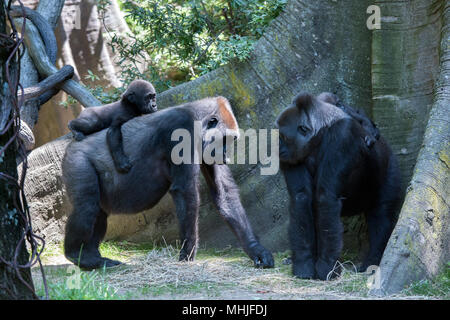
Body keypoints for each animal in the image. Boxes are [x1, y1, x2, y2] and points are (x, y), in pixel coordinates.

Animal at [62, 95, 274, 270]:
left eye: (231, 140)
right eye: (225, 139)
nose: (226, 156)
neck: (197, 120)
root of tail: (71, 143)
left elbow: (224, 192)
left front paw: (256, 250)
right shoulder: (182, 128)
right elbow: (185, 192)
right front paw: (188, 251)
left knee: (98, 212)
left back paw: (92, 257)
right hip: (76, 159)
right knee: (87, 208)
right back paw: (77, 255)